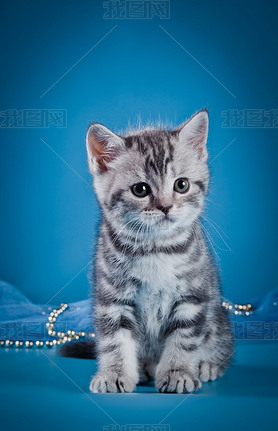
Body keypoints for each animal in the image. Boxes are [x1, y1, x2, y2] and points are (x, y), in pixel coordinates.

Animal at [62, 109, 233, 394]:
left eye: (181, 185)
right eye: (140, 189)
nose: (165, 206)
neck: (155, 247)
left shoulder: (193, 297)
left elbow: (184, 338)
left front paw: (177, 373)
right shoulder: (112, 298)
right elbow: (115, 341)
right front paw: (114, 373)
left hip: (219, 320)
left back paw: (207, 365)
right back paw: (143, 368)